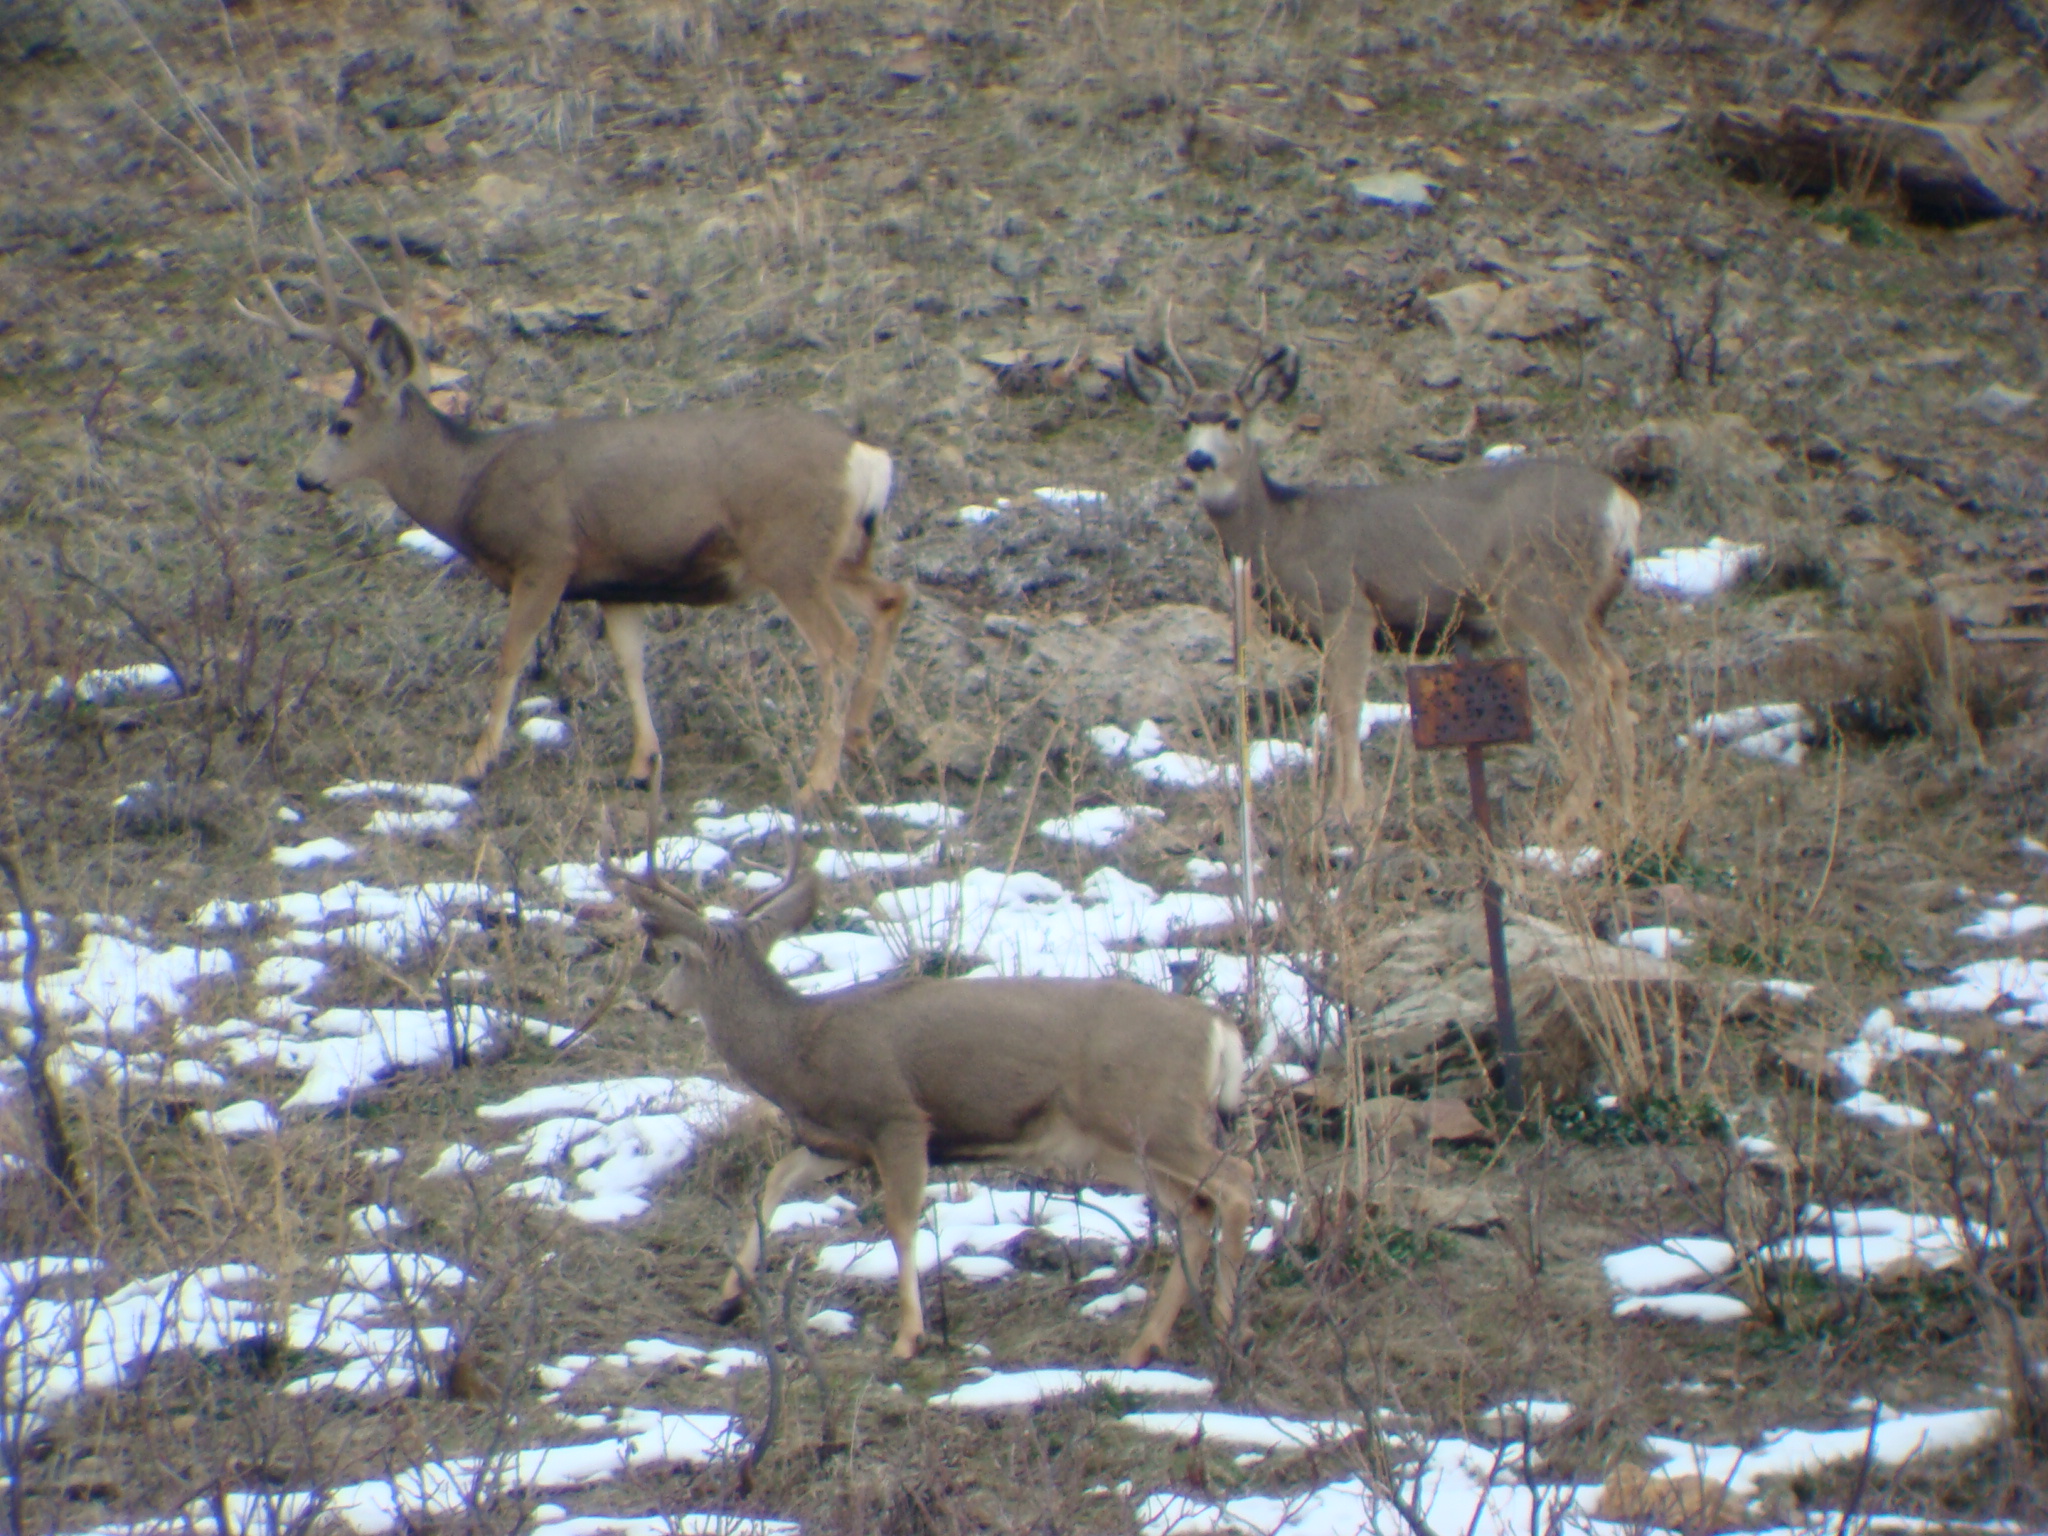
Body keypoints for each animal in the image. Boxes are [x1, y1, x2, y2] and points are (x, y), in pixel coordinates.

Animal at [241, 208, 913, 798]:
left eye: (343, 424)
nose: (305, 477)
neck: (469, 485)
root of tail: (867, 458)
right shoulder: (618, 583)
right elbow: (631, 663)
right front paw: (642, 764)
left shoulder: (547, 554)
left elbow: (511, 654)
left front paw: (476, 762)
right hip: (836, 553)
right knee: (891, 598)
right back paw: (859, 737)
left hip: (789, 553)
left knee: (837, 644)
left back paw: (820, 778)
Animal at [614, 868, 1253, 1368]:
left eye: (677, 956)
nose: (659, 1003)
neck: (800, 1049)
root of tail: (1220, 1028)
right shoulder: (835, 1142)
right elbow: (772, 1183)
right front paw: (727, 1298)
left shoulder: (897, 1118)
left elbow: (901, 1223)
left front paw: (909, 1337)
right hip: (1119, 1145)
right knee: (1193, 1210)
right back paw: (1146, 1345)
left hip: (1153, 1119)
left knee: (1238, 1181)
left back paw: (1224, 1327)